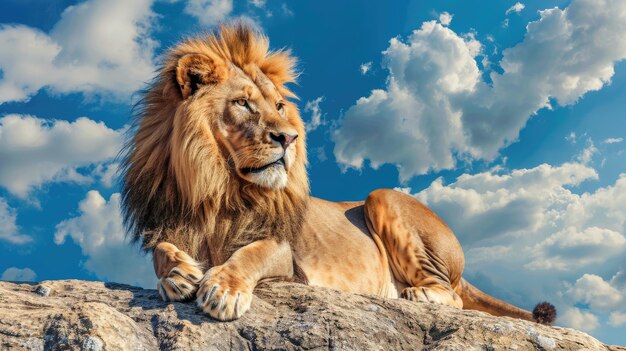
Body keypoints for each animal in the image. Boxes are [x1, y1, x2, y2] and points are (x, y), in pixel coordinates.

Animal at [119, 22, 552, 324]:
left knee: (455, 295)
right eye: (242, 103)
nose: (289, 138)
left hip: (383, 196)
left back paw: (417, 296)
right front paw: (178, 273)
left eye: (279, 106)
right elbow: (161, 250)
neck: (217, 188)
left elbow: (250, 254)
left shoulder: (282, 253)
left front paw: (223, 289)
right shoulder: (170, 224)